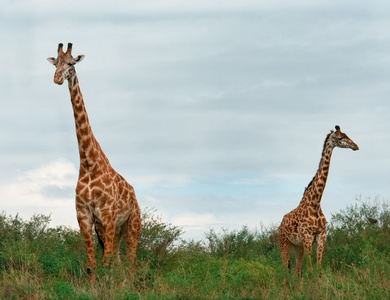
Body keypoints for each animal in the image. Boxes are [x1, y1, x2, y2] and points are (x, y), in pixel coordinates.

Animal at [47, 43, 142, 282]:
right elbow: (92, 263)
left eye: (71, 63)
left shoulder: (107, 214)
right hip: (113, 229)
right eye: (55, 63)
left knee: (130, 262)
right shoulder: (84, 215)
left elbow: (105, 262)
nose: (57, 79)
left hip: (131, 225)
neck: (89, 163)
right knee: (119, 261)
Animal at [278, 125, 358, 278]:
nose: (355, 146)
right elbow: (310, 269)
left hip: (297, 246)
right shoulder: (308, 237)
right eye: (340, 137)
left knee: (297, 269)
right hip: (284, 242)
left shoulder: (321, 236)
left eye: (347, 134)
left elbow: (318, 269)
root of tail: (280, 225)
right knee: (284, 269)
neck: (315, 202)